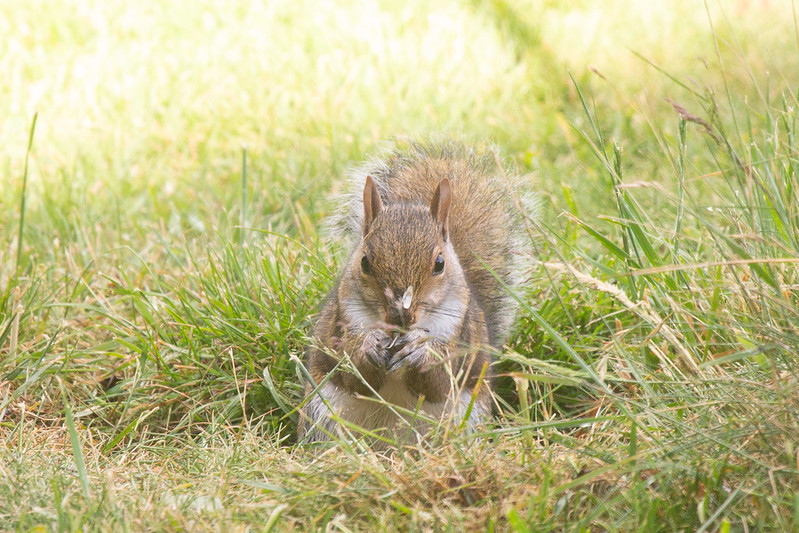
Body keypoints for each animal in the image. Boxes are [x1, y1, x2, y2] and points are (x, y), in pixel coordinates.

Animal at [296, 139, 536, 442]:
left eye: (439, 263)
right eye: (364, 262)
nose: (401, 316)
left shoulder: (461, 337)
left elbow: (440, 383)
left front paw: (420, 351)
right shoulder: (341, 322)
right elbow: (354, 377)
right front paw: (369, 344)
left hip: (468, 419)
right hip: (322, 415)